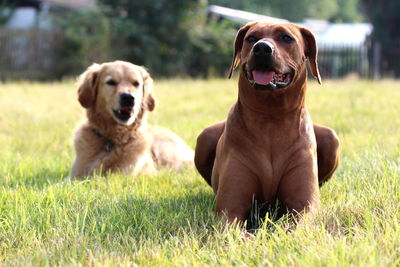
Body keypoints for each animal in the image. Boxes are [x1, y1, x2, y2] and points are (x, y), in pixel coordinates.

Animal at [195, 22, 340, 224]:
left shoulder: (305, 206)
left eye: (286, 37)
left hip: (330, 137)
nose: (262, 48)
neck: (271, 119)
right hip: (204, 137)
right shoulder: (230, 209)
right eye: (251, 38)